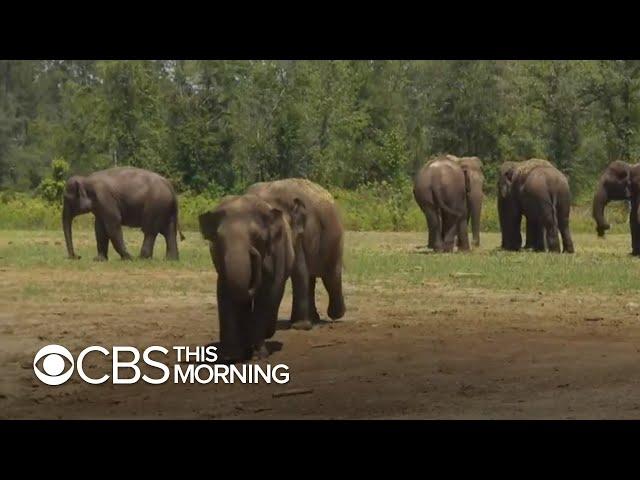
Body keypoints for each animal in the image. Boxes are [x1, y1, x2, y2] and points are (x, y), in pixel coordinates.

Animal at [198, 193, 304, 362]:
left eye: (256, 236)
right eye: (218, 239)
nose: (253, 251)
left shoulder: (275, 253)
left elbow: (267, 294)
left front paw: (258, 356)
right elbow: (224, 293)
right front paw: (230, 357)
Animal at [246, 178, 348, 332]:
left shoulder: (298, 234)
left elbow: (299, 271)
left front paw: (299, 327)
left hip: (334, 239)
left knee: (330, 276)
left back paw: (335, 314)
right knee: (313, 278)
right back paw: (315, 318)